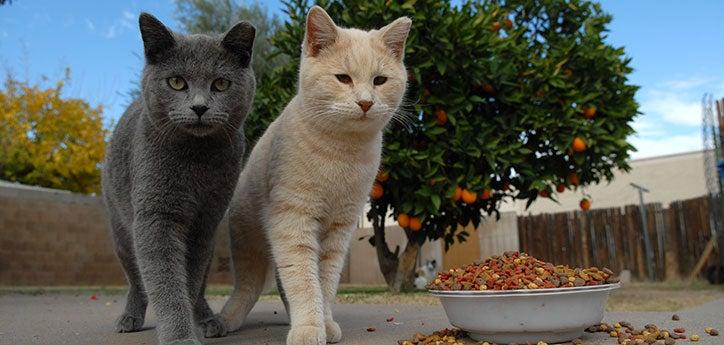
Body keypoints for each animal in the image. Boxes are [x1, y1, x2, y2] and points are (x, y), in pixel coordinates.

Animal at [102, 13, 255, 344]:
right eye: (176, 82)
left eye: (221, 83)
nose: (199, 107)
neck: (197, 160)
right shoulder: (155, 216)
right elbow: (165, 282)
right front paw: (179, 336)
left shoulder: (205, 222)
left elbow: (188, 280)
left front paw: (190, 326)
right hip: (120, 231)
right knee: (136, 280)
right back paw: (130, 317)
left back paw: (208, 319)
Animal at [221, 6, 410, 344]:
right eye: (343, 78)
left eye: (380, 80)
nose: (366, 102)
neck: (341, 153)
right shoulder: (292, 220)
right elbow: (303, 280)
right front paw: (309, 327)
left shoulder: (339, 229)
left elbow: (324, 283)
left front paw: (323, 321)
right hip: (248, 244)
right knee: (248, 286)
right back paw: (228, 319)